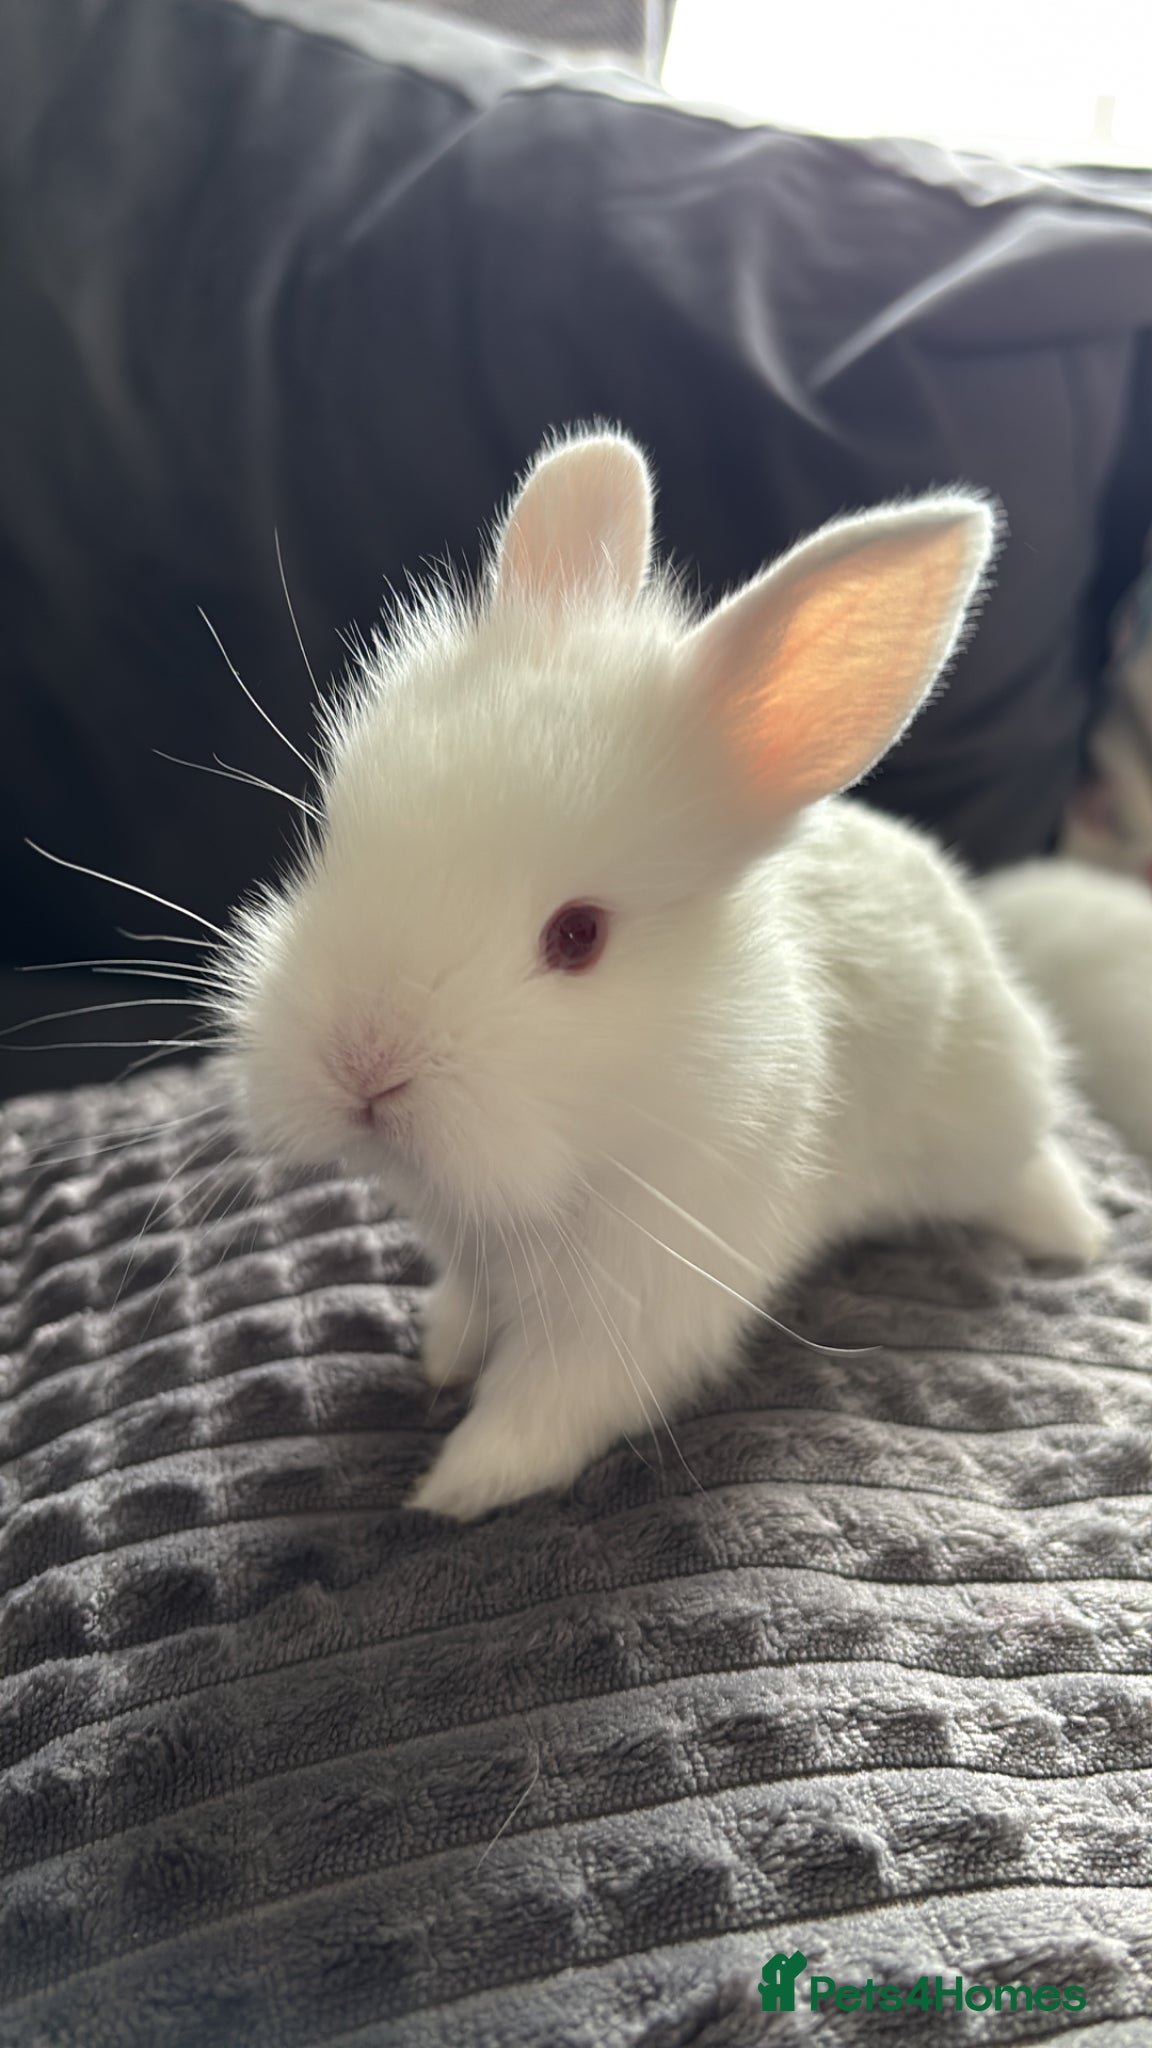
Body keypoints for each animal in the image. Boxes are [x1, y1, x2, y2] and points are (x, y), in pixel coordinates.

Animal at [220, 428, 1105, 1520]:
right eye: (332, 840)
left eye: (578, 936)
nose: (362, 1065)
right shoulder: (477, 1258)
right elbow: (469, 1317)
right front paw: (441, 1360)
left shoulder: (644, 1304)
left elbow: (549, 1403)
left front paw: (455, 1487)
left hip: (986, 1114)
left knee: (1026, 1166)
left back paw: (1074, 1234)